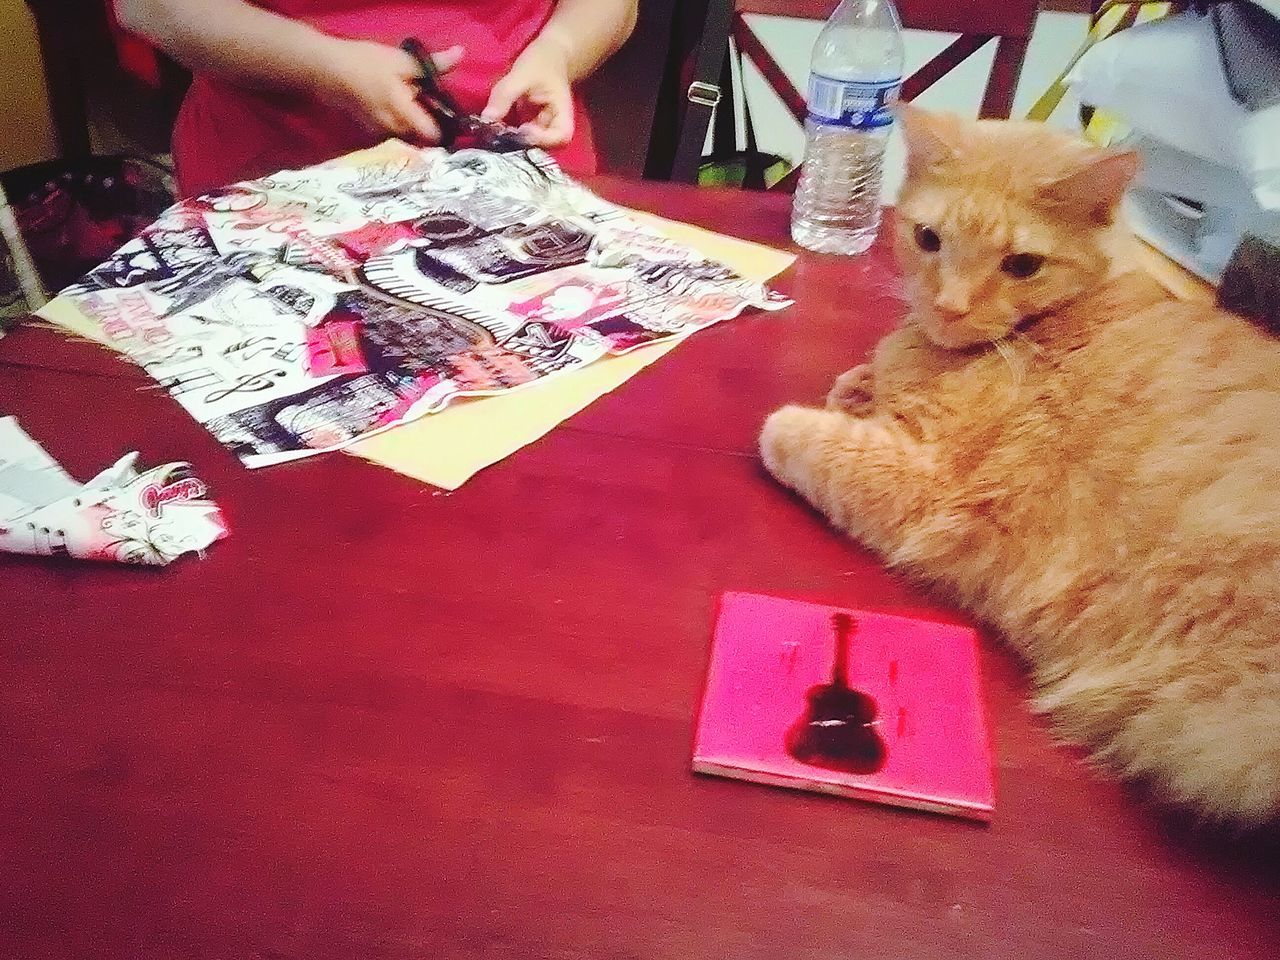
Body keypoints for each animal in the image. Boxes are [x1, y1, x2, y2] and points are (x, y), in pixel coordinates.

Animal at [757, 103, 1280, 829]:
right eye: (928, 238)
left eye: (1023, 264)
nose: (948, 307)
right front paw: (860, 385)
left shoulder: (924, 482)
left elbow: (789, 431)